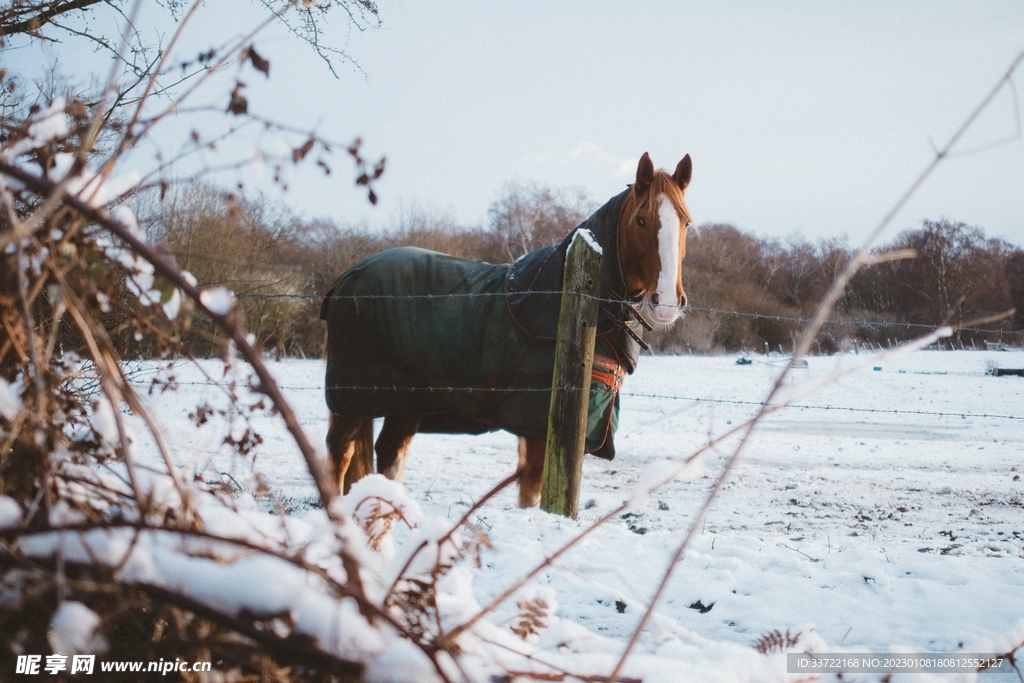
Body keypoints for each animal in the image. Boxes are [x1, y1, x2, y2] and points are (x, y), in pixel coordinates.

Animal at [320, 152, 693, 507]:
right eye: (641, 220)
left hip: (404, 404)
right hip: (350, 400)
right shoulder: (539, 428)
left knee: (389, 455)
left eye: (686, 222)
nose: (667, 303)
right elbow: (532, 496)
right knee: (339, 453)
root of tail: (347, 278)